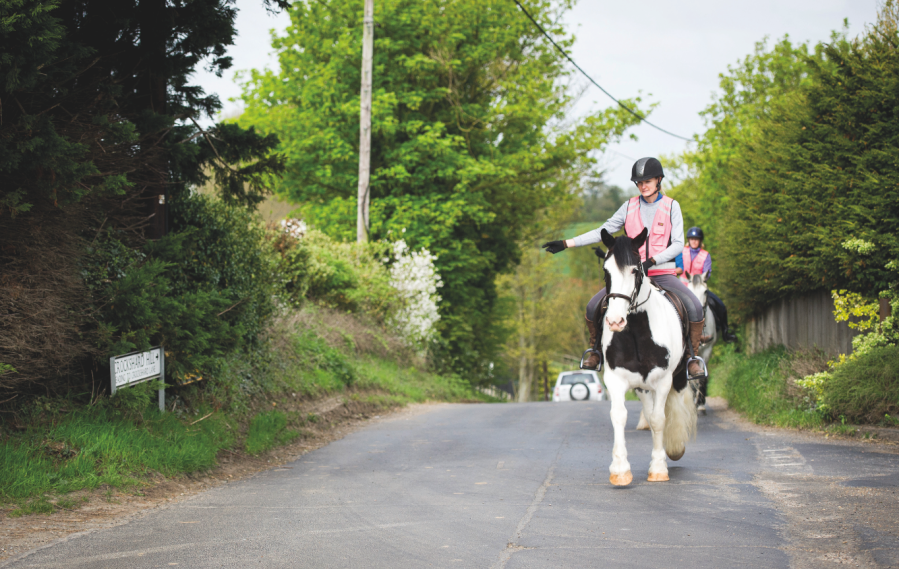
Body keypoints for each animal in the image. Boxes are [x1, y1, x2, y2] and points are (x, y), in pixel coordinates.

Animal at [600, 226, 700, 484]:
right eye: (606, 271)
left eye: (635, 270)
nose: (615, 321)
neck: (638, 331)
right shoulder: (615, 379)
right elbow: (619, 416)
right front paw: (620, 470)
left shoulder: (663, 380)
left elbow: (658, 419)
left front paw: (658, 467)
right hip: (642, 385)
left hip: (678, 376)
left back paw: (674, 447)